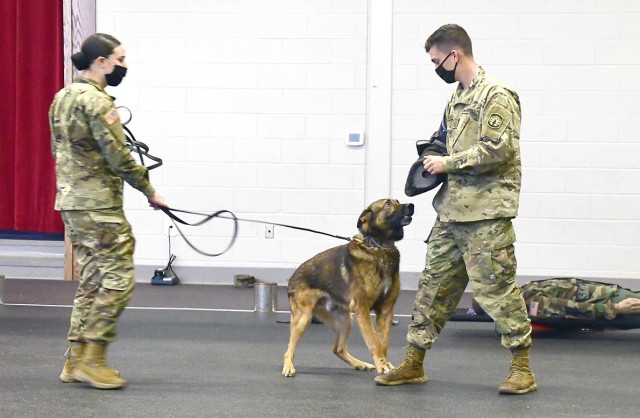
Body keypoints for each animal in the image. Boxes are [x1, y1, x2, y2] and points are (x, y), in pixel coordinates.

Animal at [282, 198, 416, 378]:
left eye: (398, 201)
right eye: (387, 204)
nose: (411, 205)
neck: (380, 247)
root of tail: (292, 278)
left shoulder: (386, 311)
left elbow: (382, 343)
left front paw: (384, 366)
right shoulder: (362, 309)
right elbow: (373, 340)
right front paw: (382, 364)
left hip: (346, 321)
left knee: (338, 349)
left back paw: (360, 364)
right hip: (303, 319)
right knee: (289, 349)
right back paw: (288, 366)